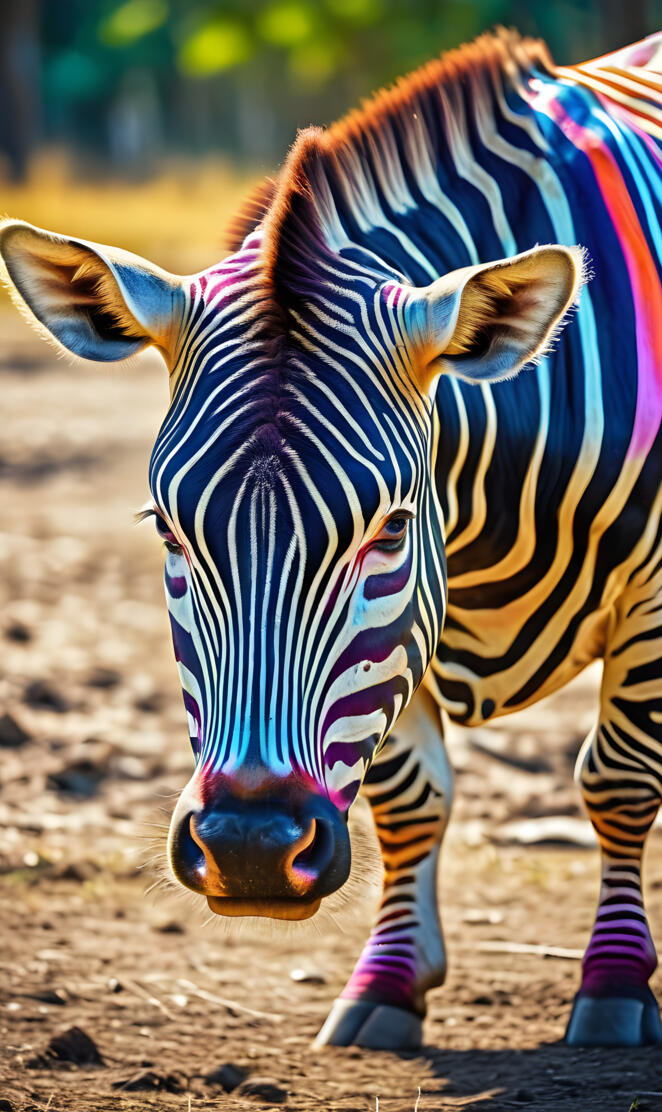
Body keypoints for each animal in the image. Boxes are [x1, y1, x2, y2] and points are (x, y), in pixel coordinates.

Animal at [1, 28, 661, 1050]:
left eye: (390, 529)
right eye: (168, 531)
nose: (249, 849)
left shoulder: (652, 594)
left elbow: (620, 779)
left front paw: (618, 984)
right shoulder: (407, 639)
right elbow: (410, 799)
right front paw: (387, 985)